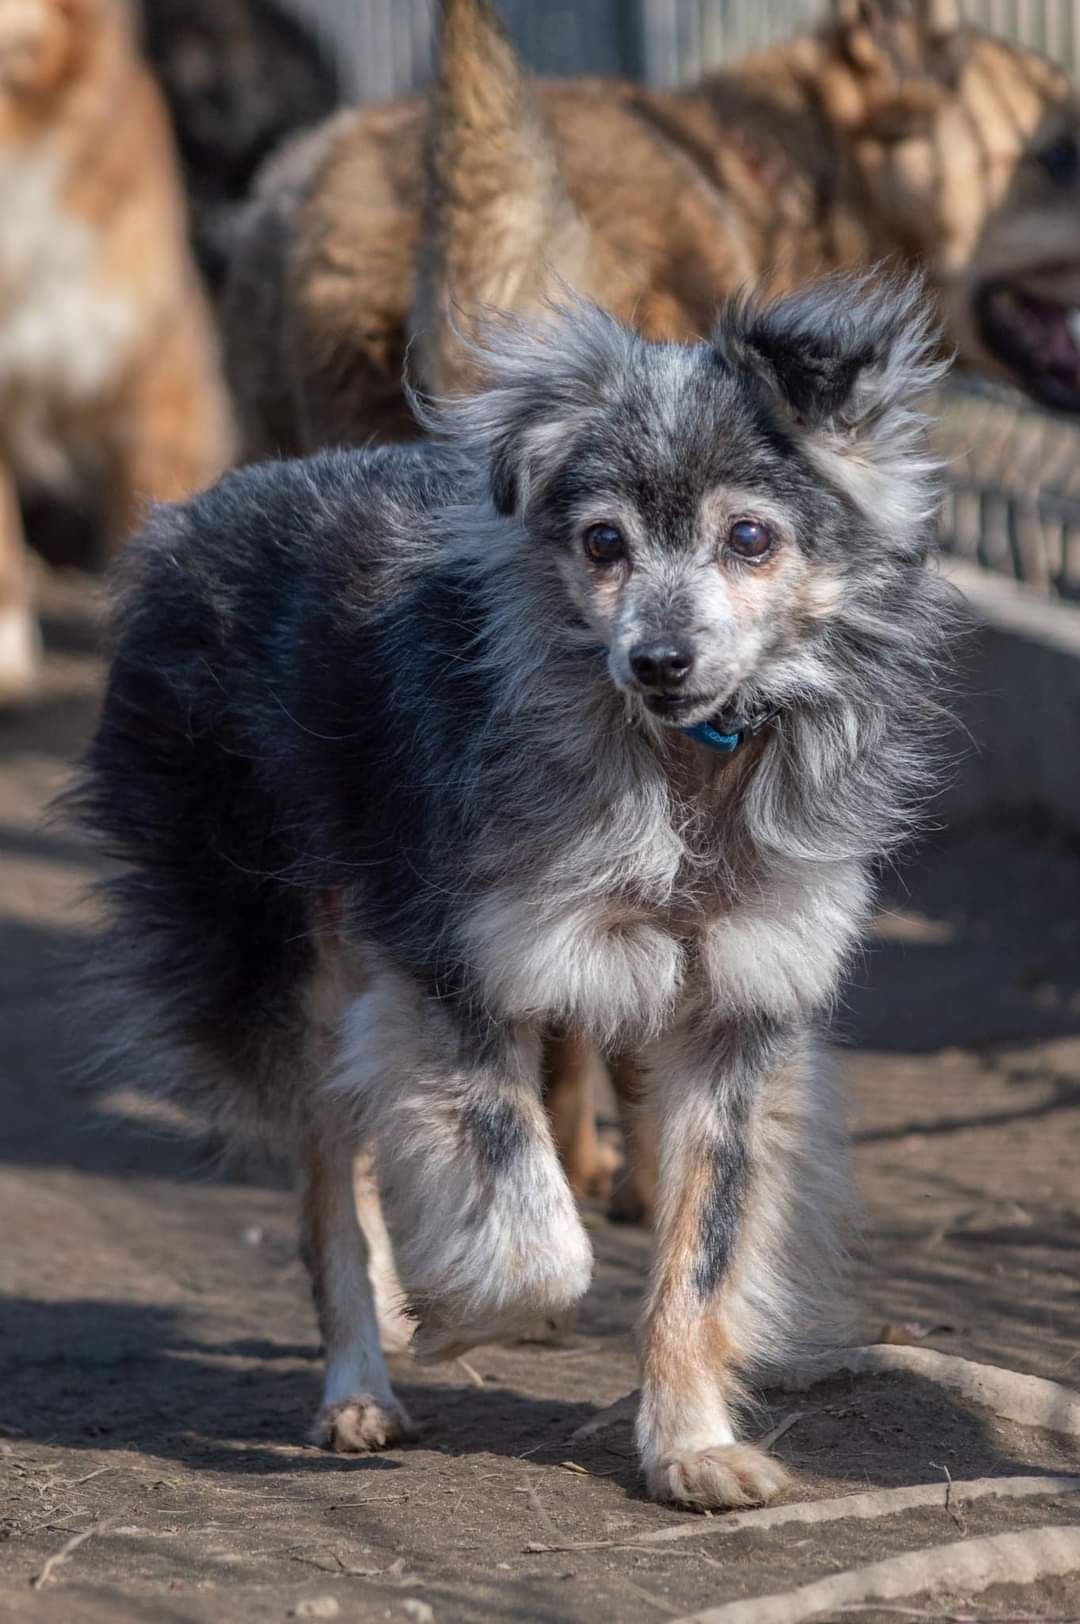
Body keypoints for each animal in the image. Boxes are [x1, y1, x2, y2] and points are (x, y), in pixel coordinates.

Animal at [71, 276, 954, 1507]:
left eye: (750, 539)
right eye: (602, 543)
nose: (660, 661)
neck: (681, 766)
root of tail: (200, 512)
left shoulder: (738, 1009)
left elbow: (699, 1254)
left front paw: (689, 1444)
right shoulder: (451, 968)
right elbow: (536, 1233)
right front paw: (455, 1314)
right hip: (285, 952)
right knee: (329, 1189)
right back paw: (363, 1379)